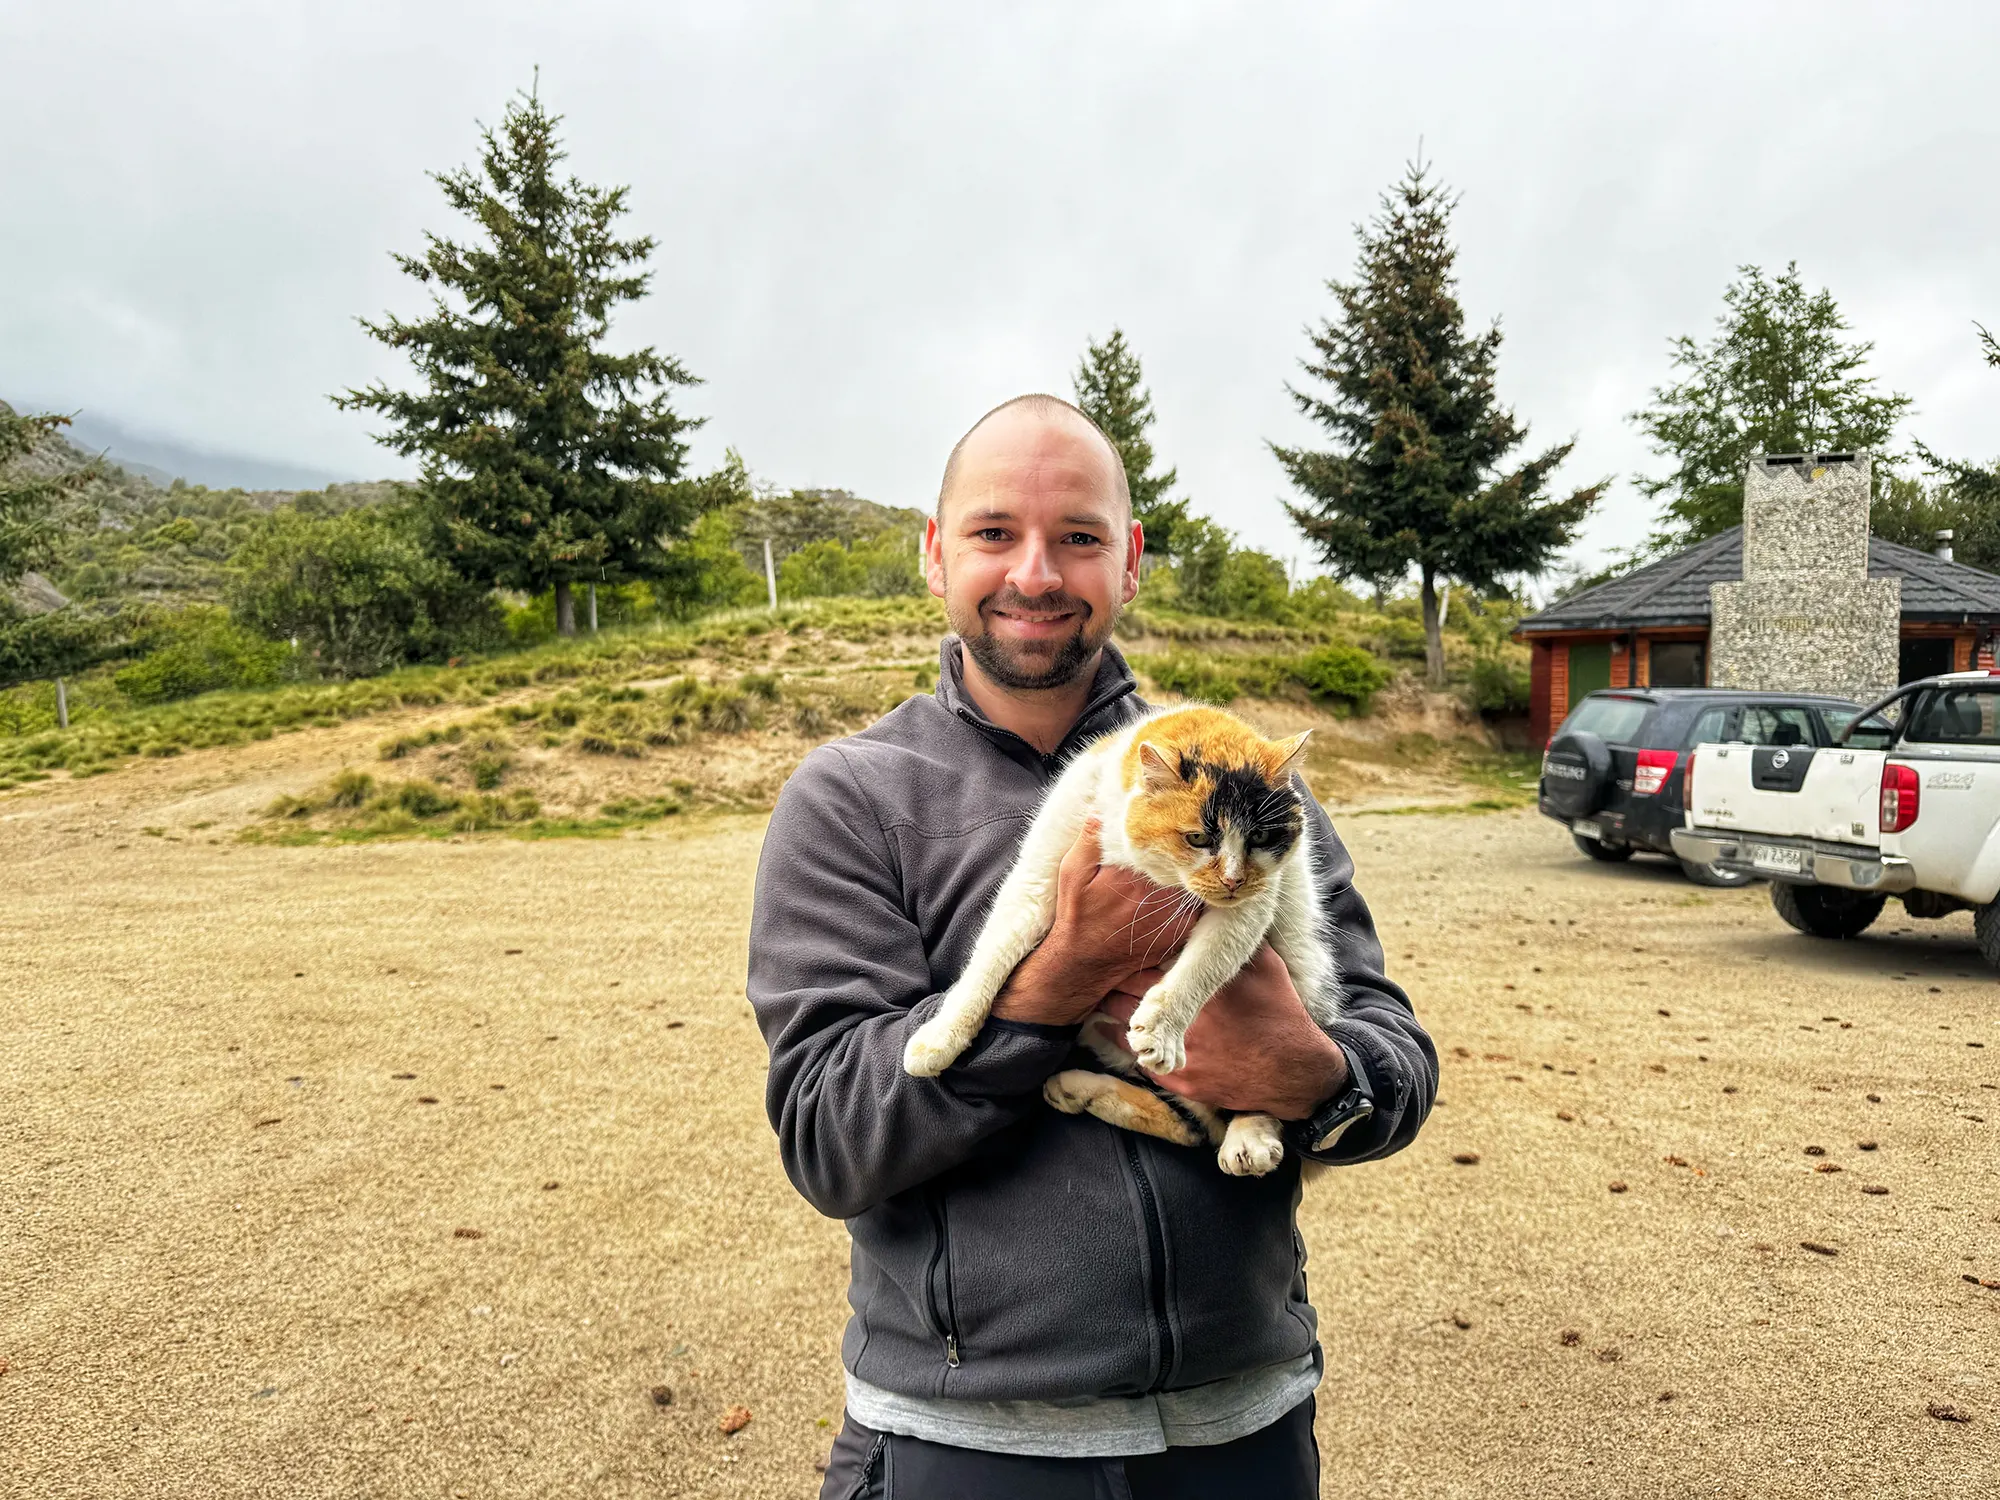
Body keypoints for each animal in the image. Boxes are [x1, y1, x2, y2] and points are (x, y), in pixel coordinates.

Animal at [908, 712, 1344, 1184]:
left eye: (1262, 836)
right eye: (1196, 839)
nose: (1233, 880)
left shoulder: (1254, 902)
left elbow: (1205, 965)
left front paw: (1162, 1030)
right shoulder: (1043, 866)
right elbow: (991, 955)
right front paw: (938, 1040)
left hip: (1305, 974)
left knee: (1235, 1108)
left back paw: (1250, 1137)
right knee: (1191, 1126)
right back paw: (1077, 1090)